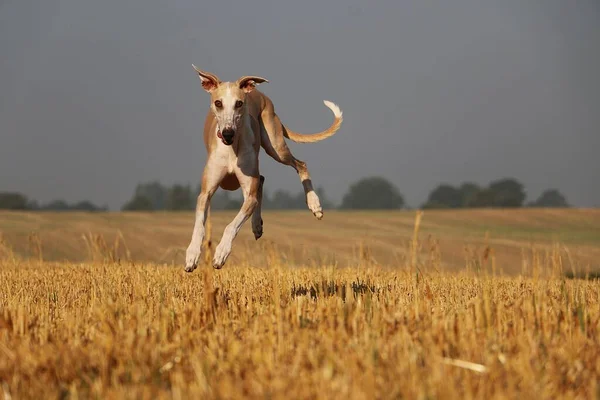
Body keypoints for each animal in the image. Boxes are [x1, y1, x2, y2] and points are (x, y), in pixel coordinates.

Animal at [183, 66, 342, 272]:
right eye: (218, 103)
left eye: (239, 103)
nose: (227, 133)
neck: (232, 148)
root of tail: (259, 93)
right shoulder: (205, 193)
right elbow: (199, 226)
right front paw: (192, 255)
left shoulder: (248, 194)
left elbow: (232, 225)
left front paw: (221, 253)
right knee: (262, 180)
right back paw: (257, 224)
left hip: (275, 146)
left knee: (299, 165)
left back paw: (314, 204)